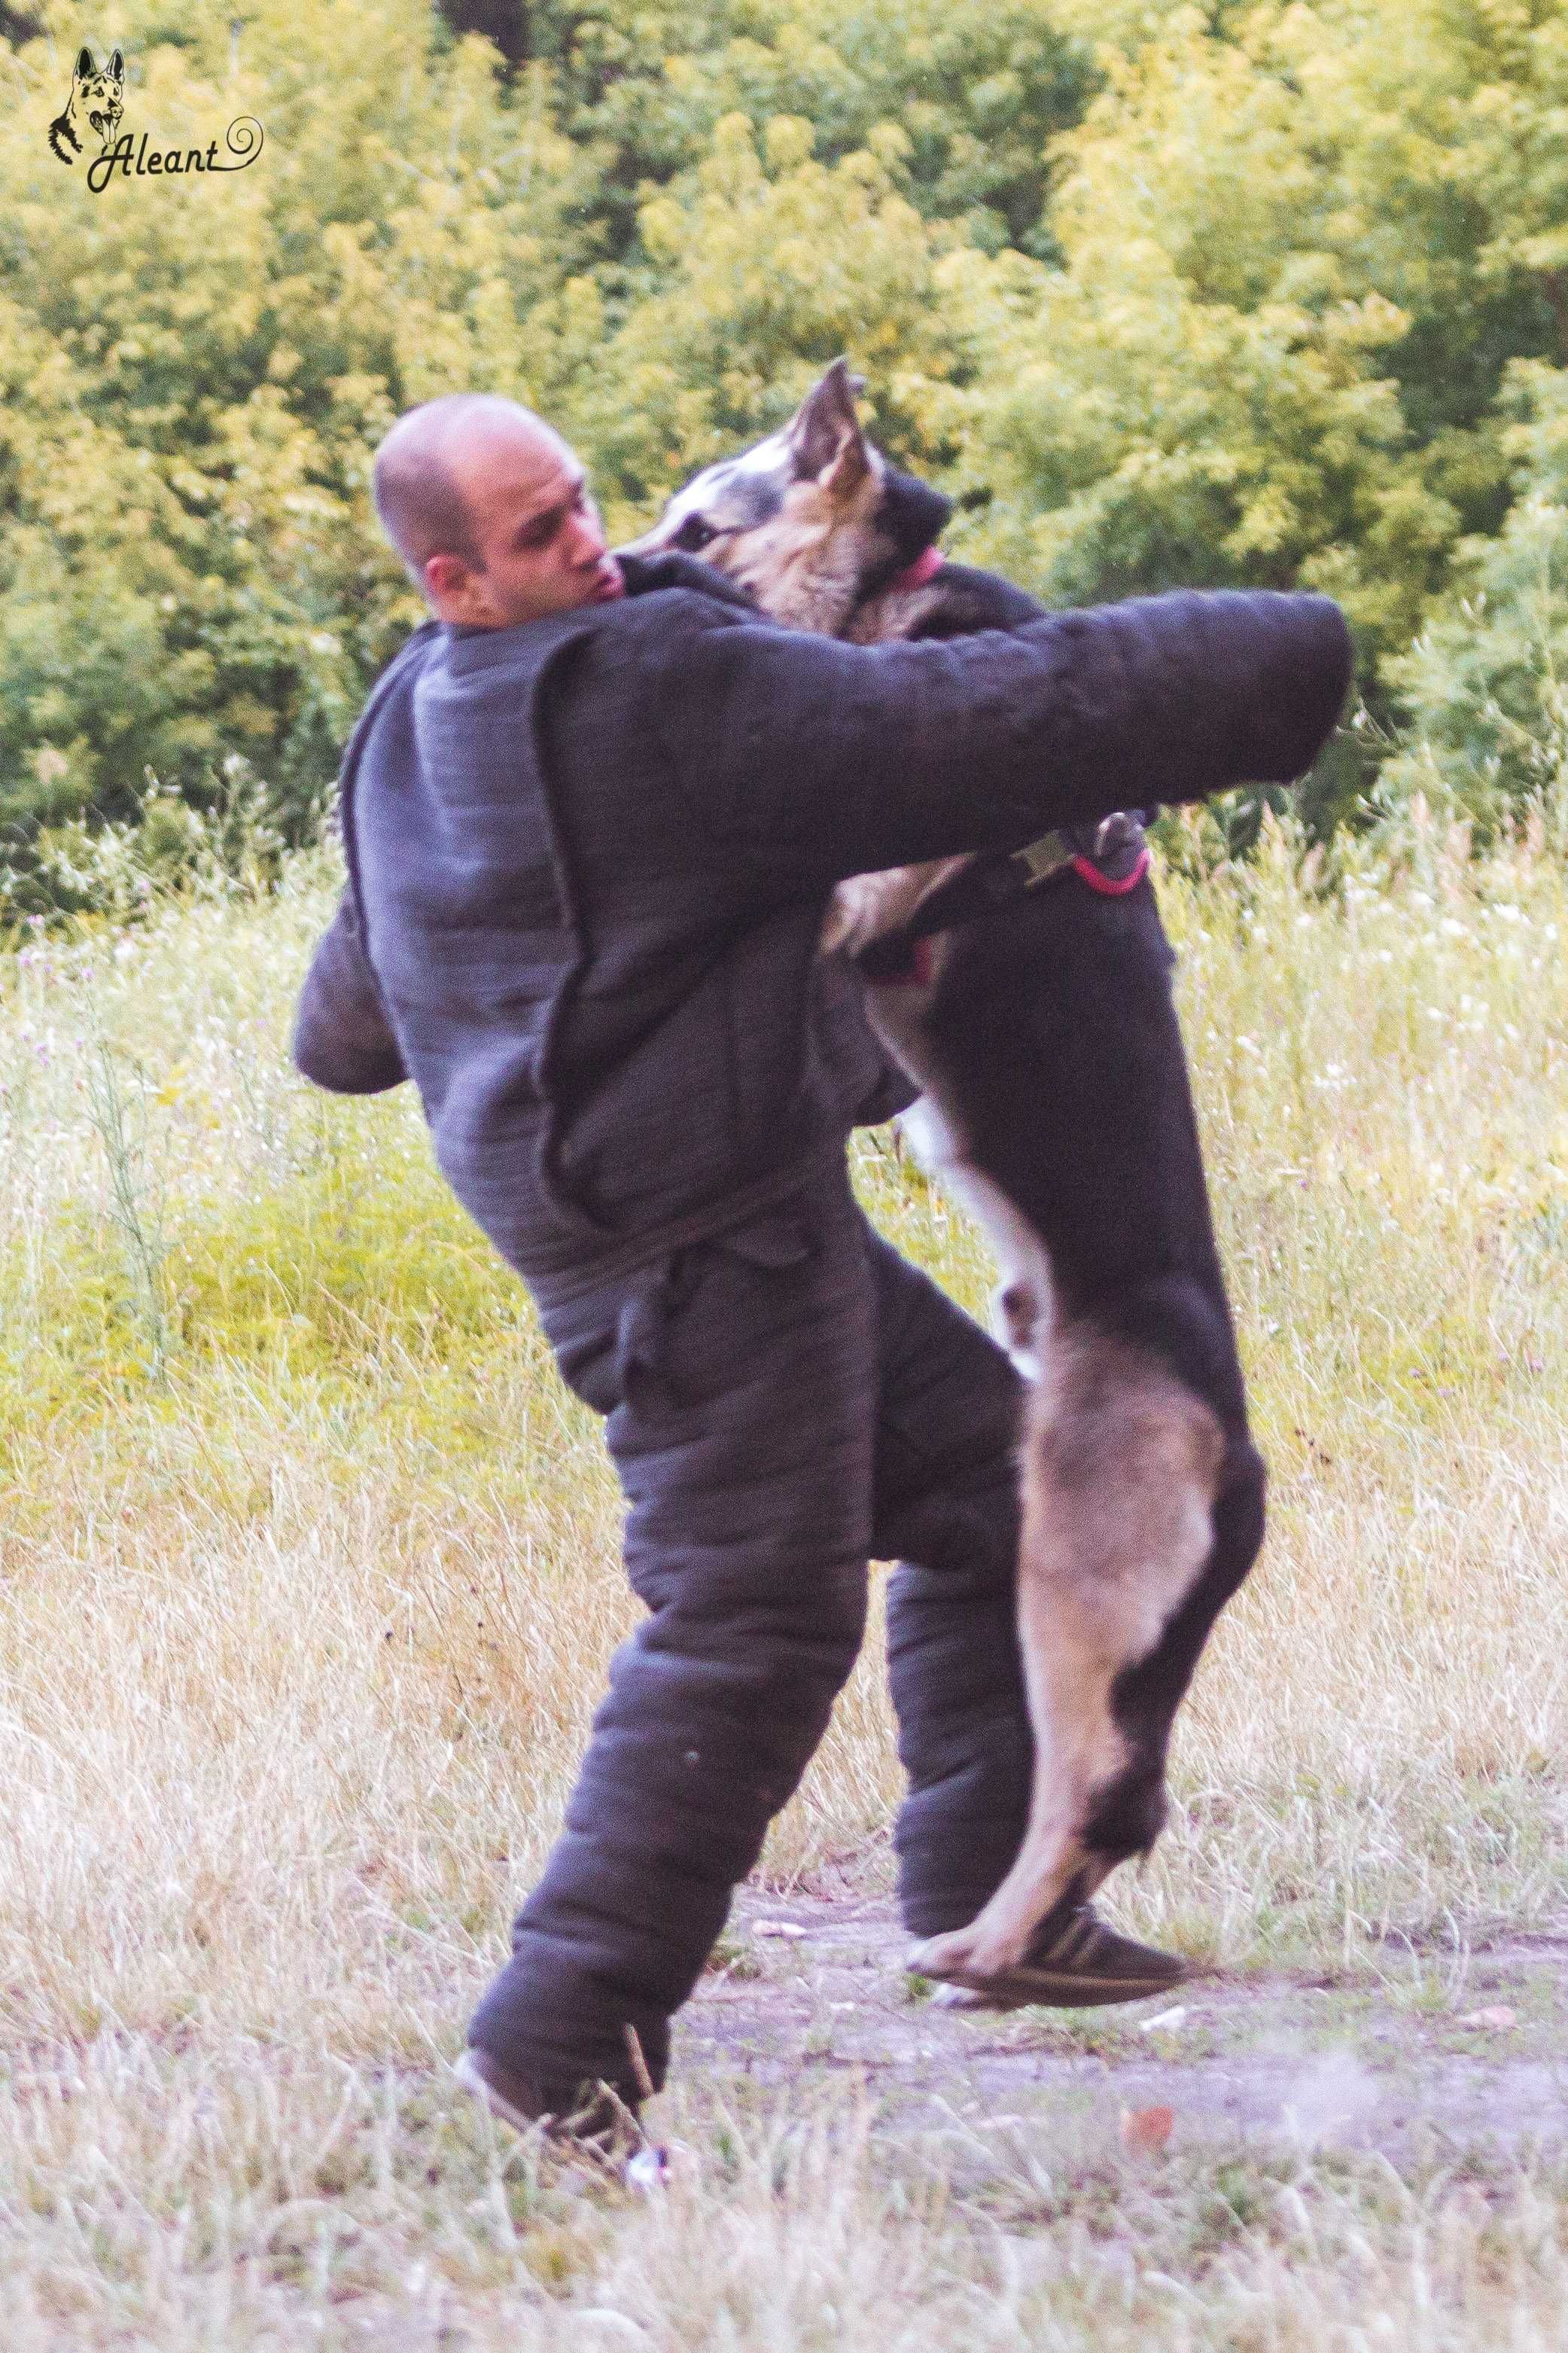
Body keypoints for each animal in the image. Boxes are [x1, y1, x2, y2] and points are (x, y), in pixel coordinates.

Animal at [620, 362, 1269, 2004]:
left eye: (699, 529)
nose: (619, 575)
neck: (880, 606)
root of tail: (1236, 1467)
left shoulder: (847, 902)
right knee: (1113, 1808)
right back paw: (1013, 1944)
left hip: (1068, 1597)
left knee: (1087, 1796)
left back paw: (981, 1943)